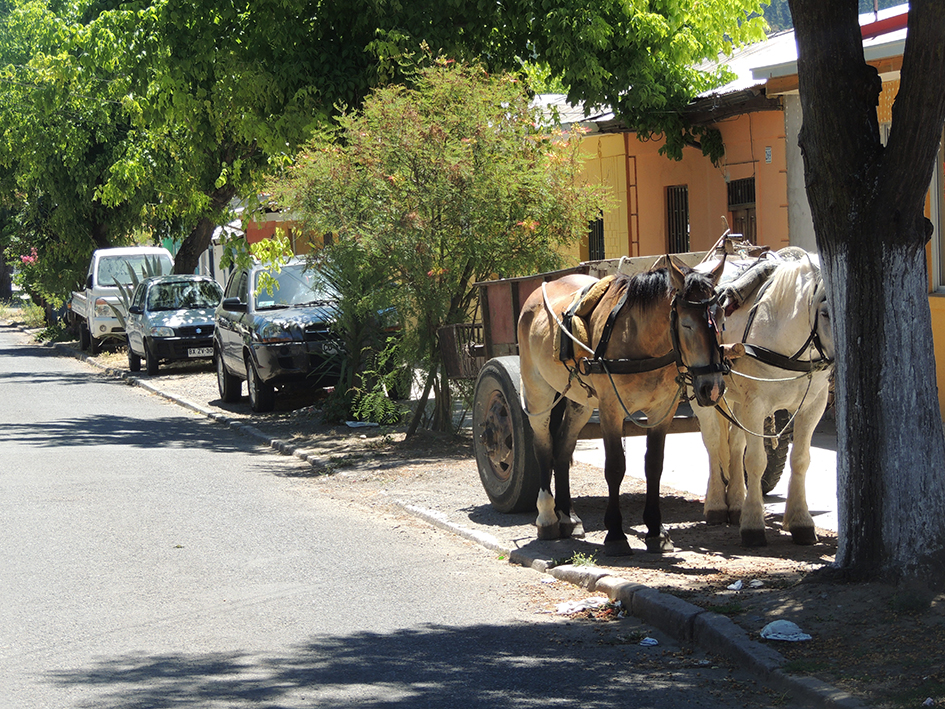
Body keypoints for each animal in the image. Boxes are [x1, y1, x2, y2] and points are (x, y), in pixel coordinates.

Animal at [517, 256, 728, 555]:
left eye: (721, 319)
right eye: (687, 324)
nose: (713, 387)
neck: (638, 337)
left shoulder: (662, 411)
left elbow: (654, 466)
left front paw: (655, 530)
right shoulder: (611, 411)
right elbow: (615, 466)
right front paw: (616, 533)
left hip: (580, 403)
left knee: (562, 449)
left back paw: (568, 516)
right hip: (539, 394)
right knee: (544, 448)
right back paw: (547, 516)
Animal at [692, 250, 834, 547]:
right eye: (826, 313)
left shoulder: (813, 406)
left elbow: (800, 459)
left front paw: (800, 521)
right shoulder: (756, 406)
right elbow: (756, 461)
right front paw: (753, 524)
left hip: (735, 399)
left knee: (734, 445)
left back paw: (735, 503)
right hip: (702, 394)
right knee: (713, 444)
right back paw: (716, 504)